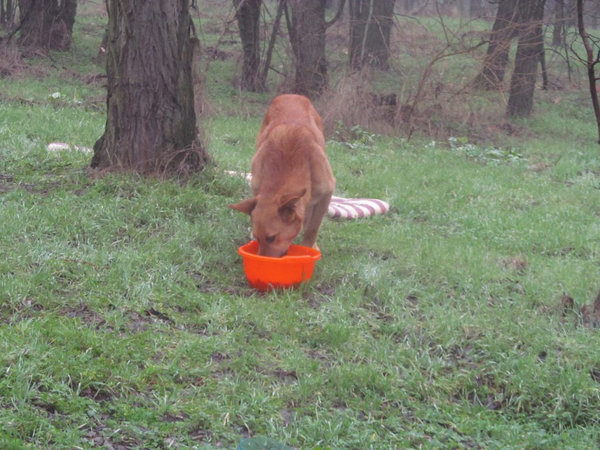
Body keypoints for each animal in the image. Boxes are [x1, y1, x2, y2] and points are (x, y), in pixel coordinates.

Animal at [230, 94, 336, 256]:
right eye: (258, 238)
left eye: (272, 237)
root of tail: (292, 95)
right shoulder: (257, 186)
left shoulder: (325, 195)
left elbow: (312, 229)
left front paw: (308, 249)